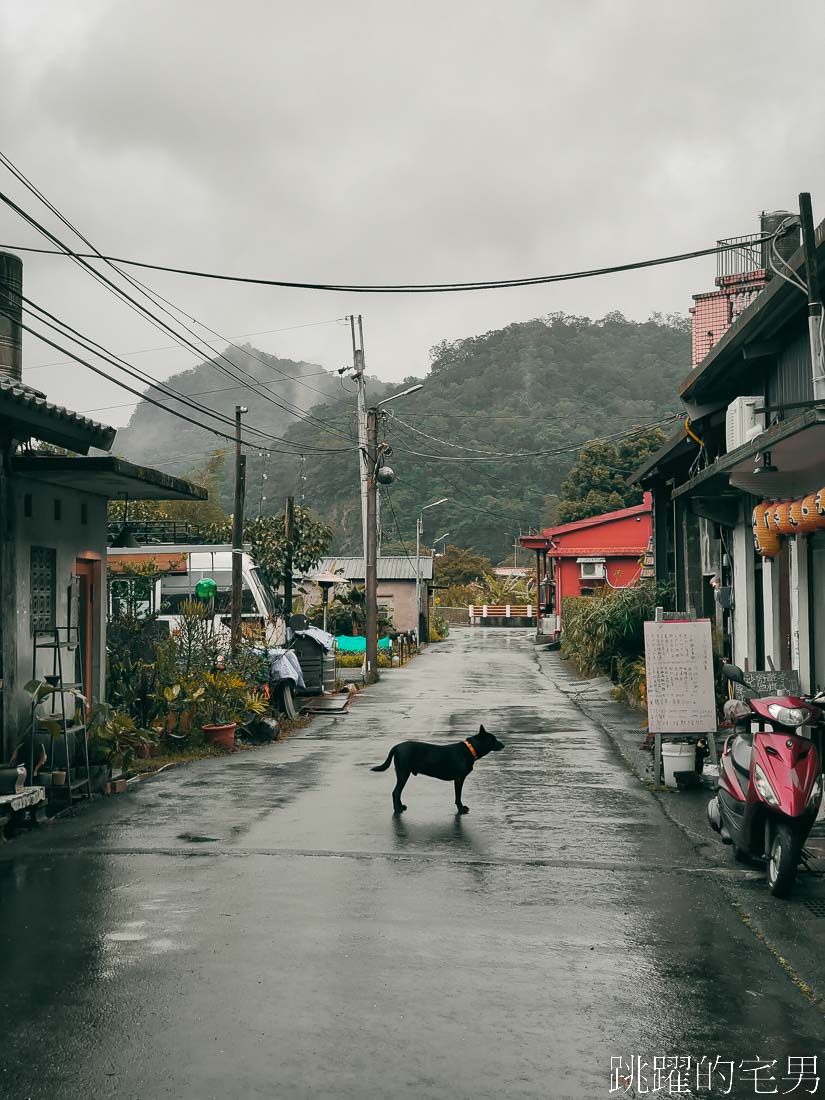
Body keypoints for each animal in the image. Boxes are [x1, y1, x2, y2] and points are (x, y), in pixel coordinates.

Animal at [374, 726, 503, 814]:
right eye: (493, 739)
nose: (503, 745)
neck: (470, 749)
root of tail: (396, 747)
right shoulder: (459, 778)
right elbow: (458, 796)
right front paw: (461, 809)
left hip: (403, 774)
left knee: (398, 792)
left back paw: (401, 807)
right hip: (403, 773)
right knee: (396, 792)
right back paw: (397, 809)